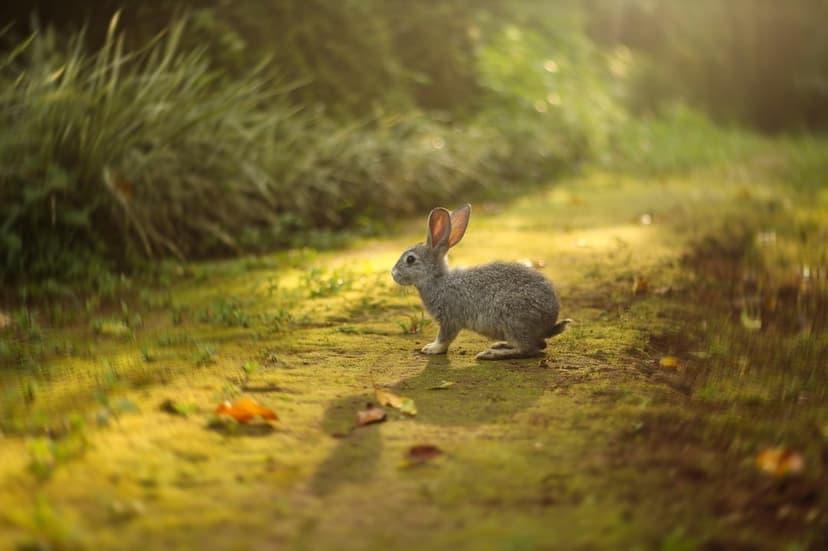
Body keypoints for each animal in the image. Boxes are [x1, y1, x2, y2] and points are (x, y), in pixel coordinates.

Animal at [391, 203, 570, 360]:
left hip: (514, 319)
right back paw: (500, 345)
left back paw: (493, 354)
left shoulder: (450, 318)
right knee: (539, 345)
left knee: (529, 349)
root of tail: (549, 322)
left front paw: (431, 348)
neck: (438, 279)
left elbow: (444, 338)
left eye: (410, 259)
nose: (393, 274)